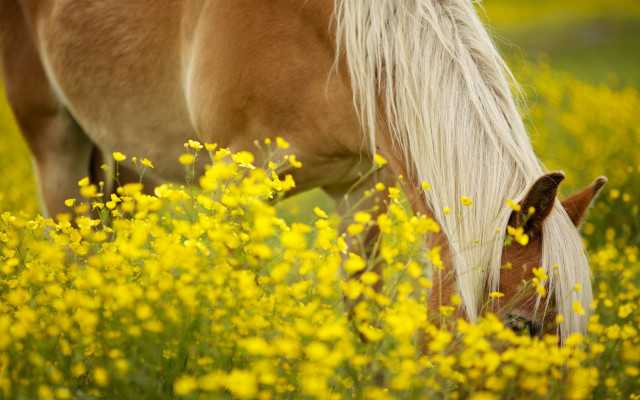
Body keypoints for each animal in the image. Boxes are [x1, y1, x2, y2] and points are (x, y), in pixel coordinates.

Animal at [0, 0, 605, 341]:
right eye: (523, 326)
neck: (329, 37)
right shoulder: (236, 185)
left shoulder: (361, 189)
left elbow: (361, 317)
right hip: (55, 143)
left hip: (129, 160)